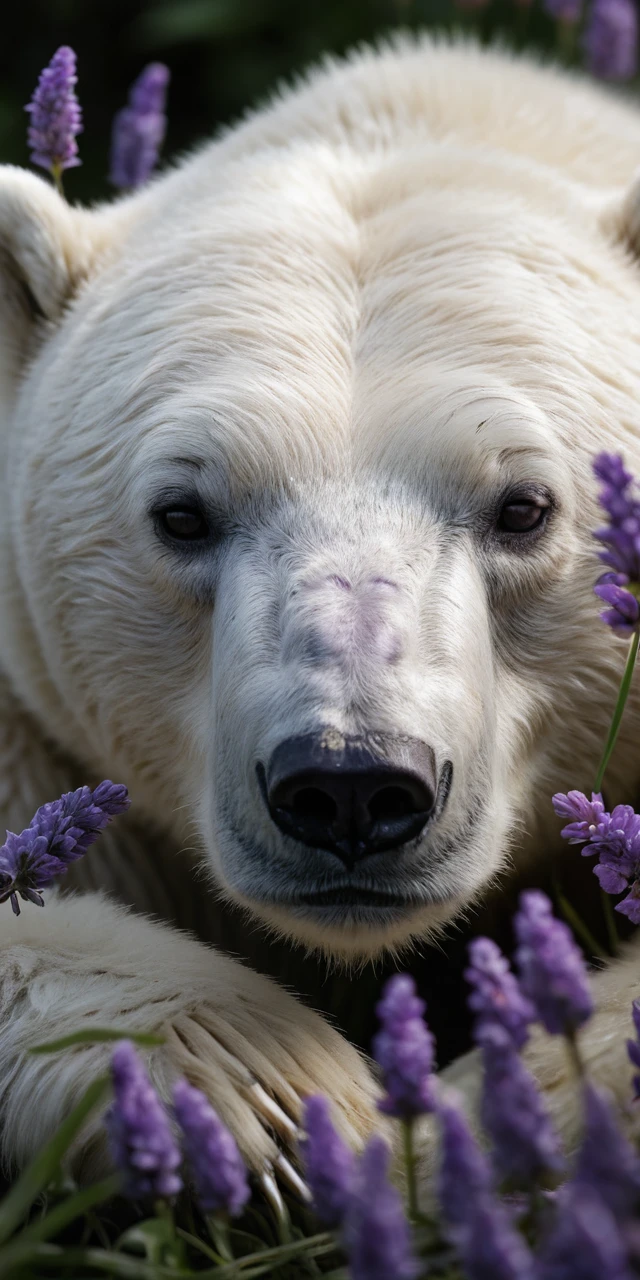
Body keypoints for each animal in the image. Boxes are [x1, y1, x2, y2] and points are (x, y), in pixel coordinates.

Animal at [1, 32, 640, 1191]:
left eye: (525, 505)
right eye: (181, 512)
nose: (348, 785)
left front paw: (471, 1121)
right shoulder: (28, 710)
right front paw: (274, 1090)